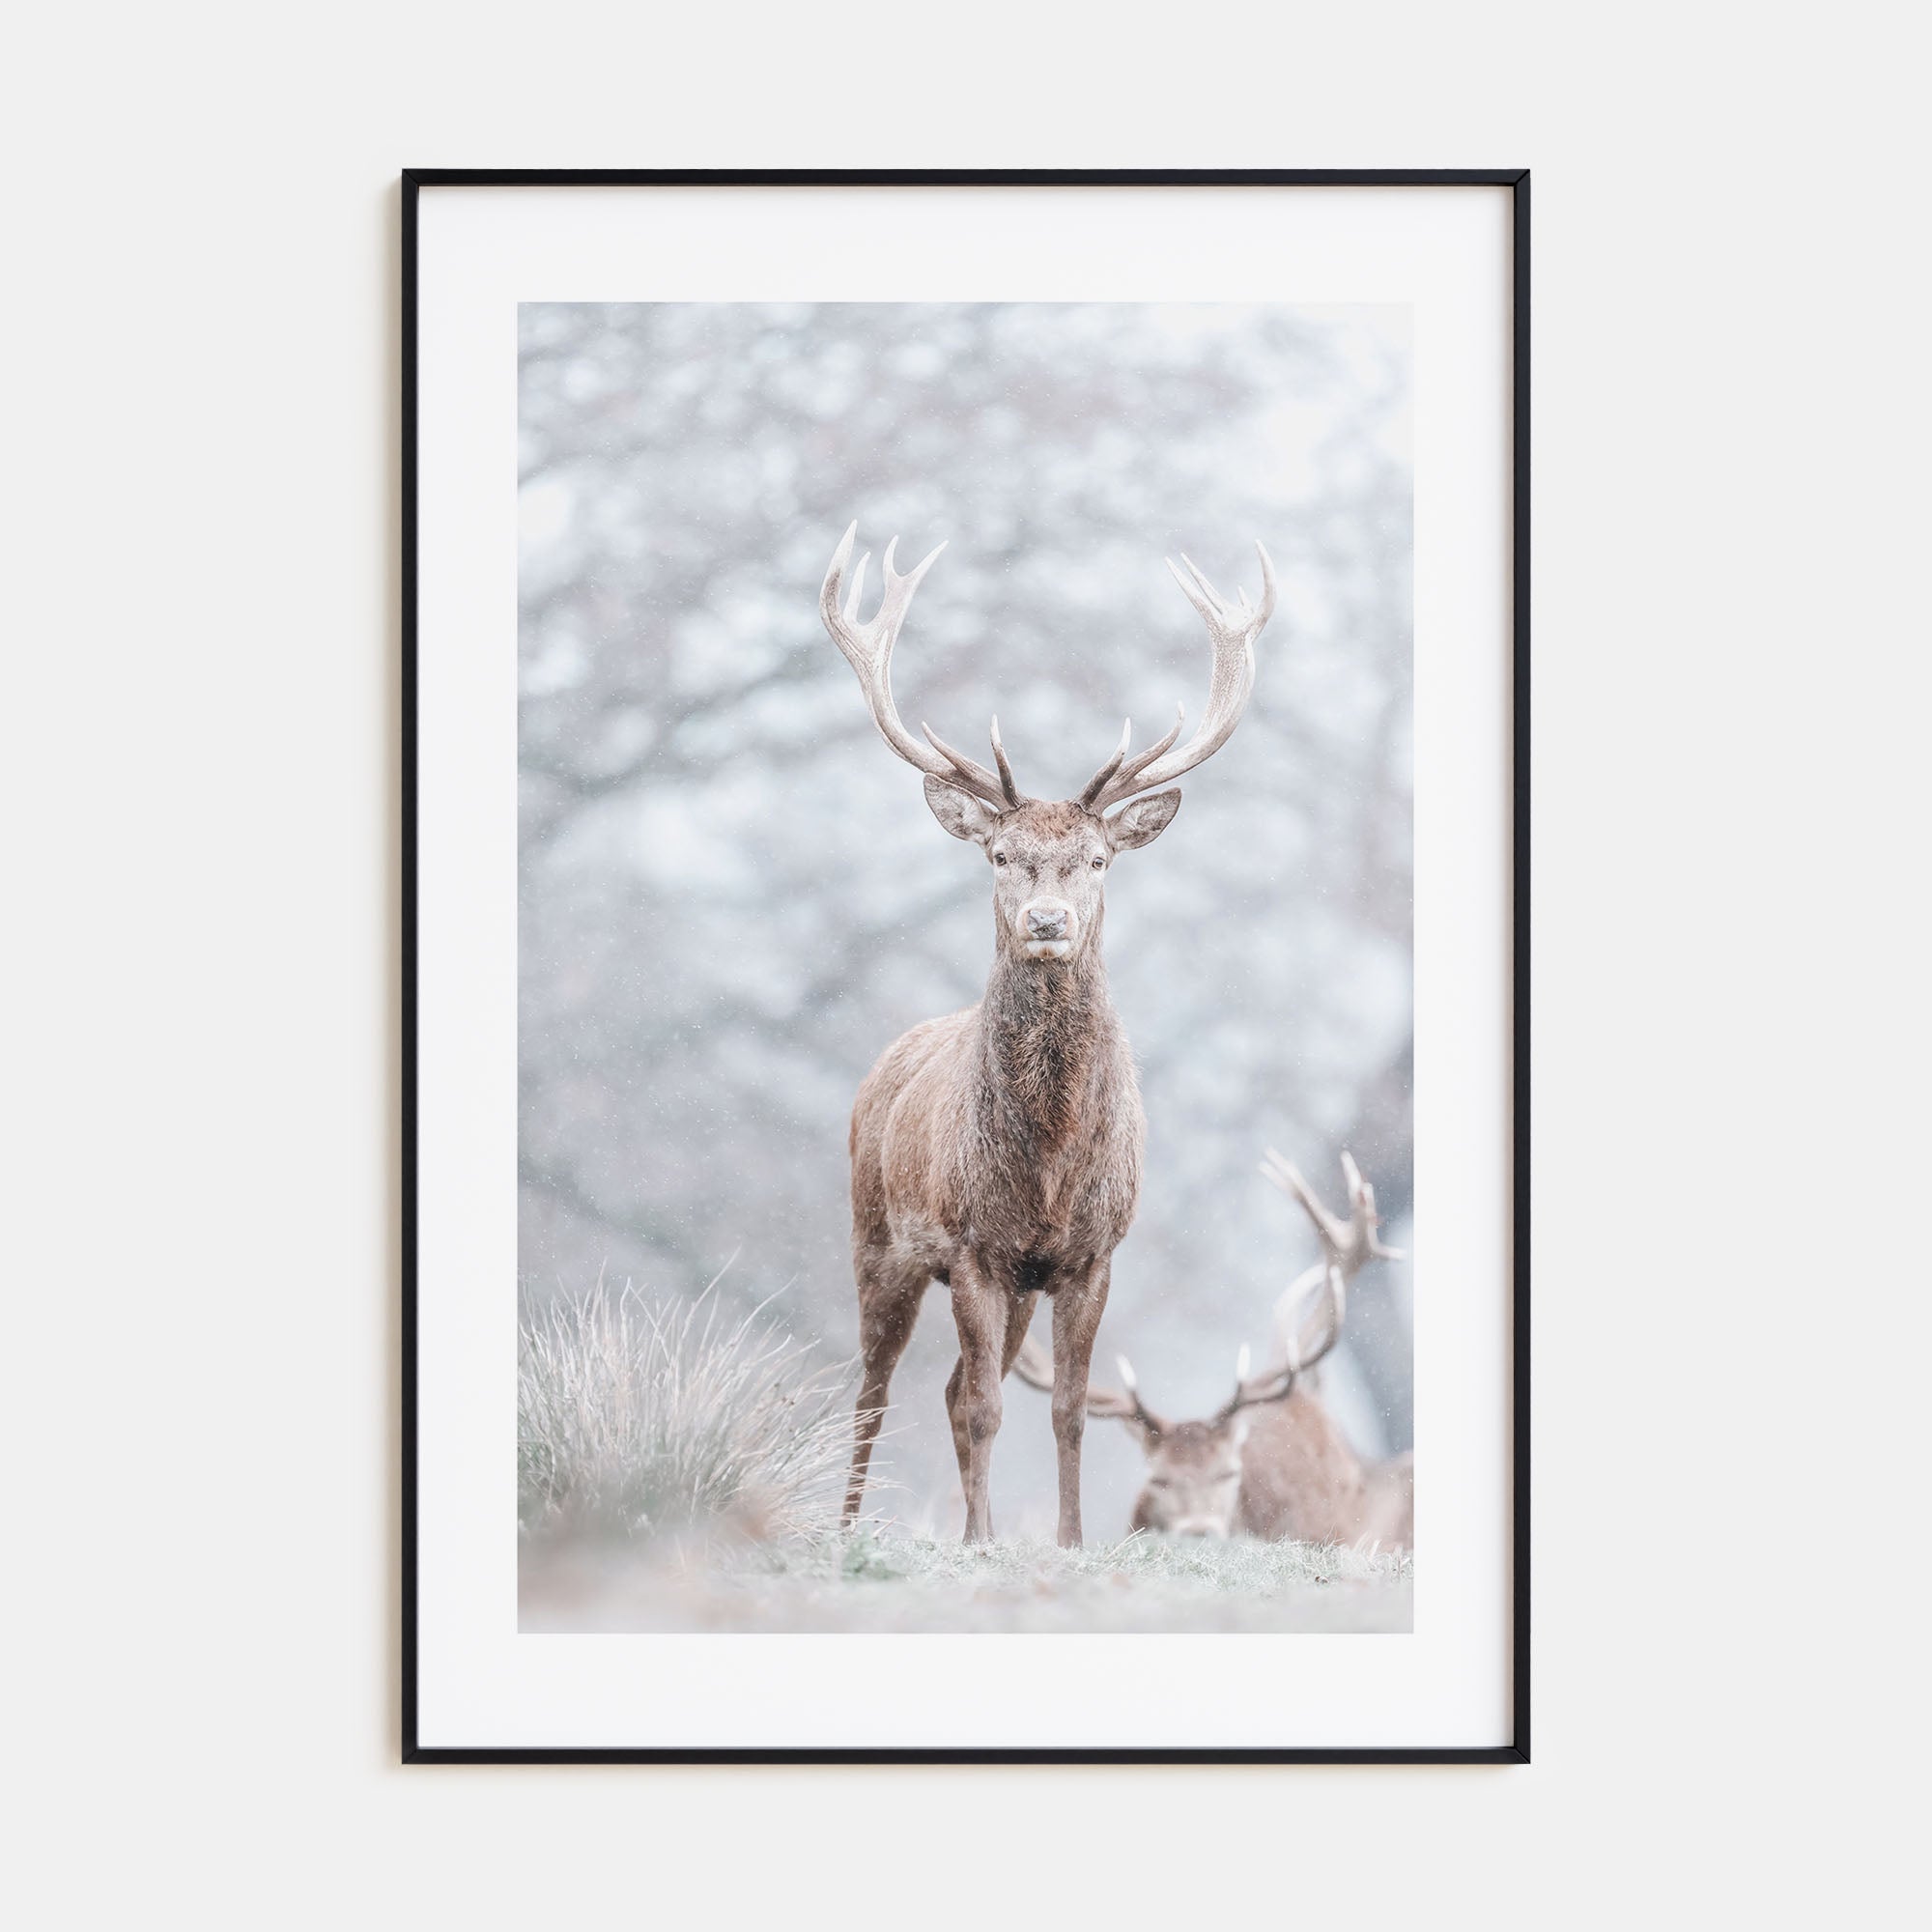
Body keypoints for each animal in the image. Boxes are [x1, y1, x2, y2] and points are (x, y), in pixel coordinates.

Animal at [822, 522, 1277, 1546]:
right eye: (1001, 854)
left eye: (1098, 859)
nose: (1046, 921)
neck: (1049, 1160)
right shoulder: (971, 1246)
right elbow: (990, 1408)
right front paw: (984, 1544)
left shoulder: (1089, 1254)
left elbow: (1066, 1410)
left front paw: (1066, 1541)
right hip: (879, 1239)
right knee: (878, 1390)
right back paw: (852, 1524)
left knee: (951, 1388)